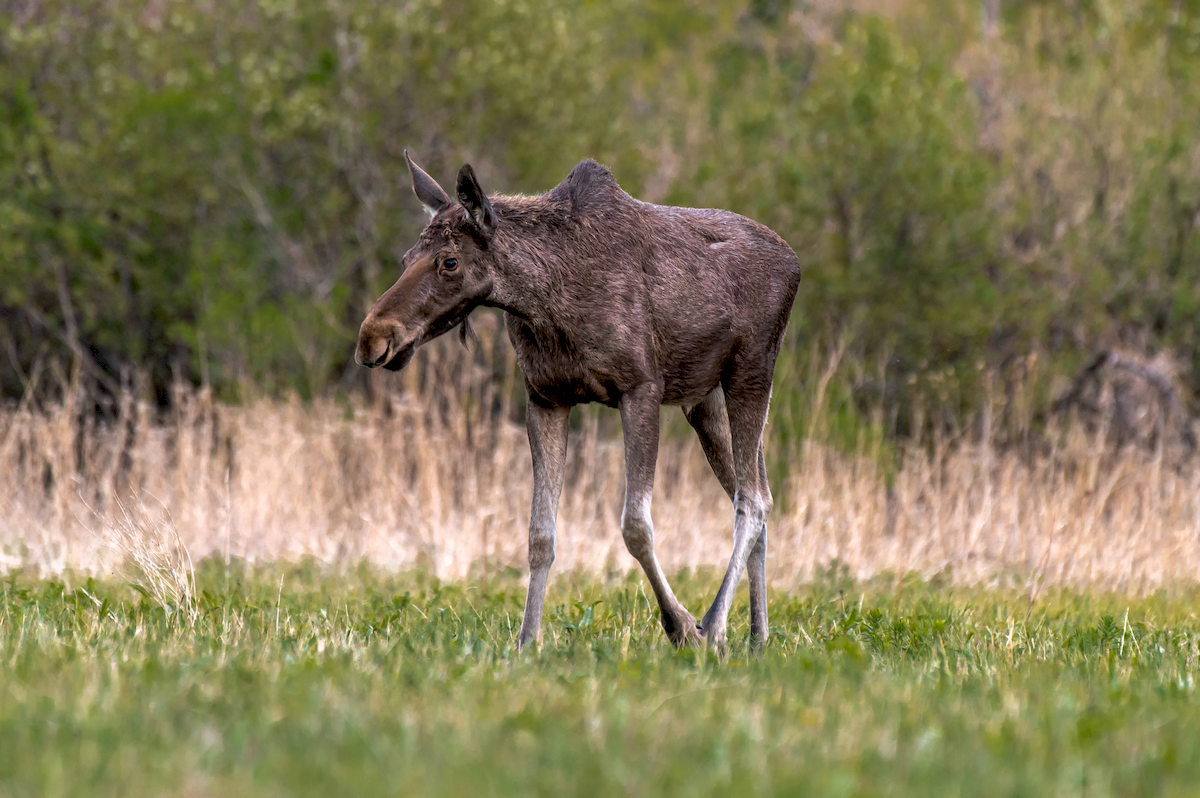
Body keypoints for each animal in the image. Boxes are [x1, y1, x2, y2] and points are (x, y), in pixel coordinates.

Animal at [360, 151, 801, 648]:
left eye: (449, 261)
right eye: (406, 258)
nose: (372, 338)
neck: (545, 301)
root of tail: (795, 261)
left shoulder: (640, 388)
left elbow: (635, 527)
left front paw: (682, 625)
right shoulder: (545, 397)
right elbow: (540, 535)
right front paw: (527, 641)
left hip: (752, 369)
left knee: (753, 501)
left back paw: (717, 624)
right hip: (703, 401)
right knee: (759, 494)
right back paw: (757, 637)